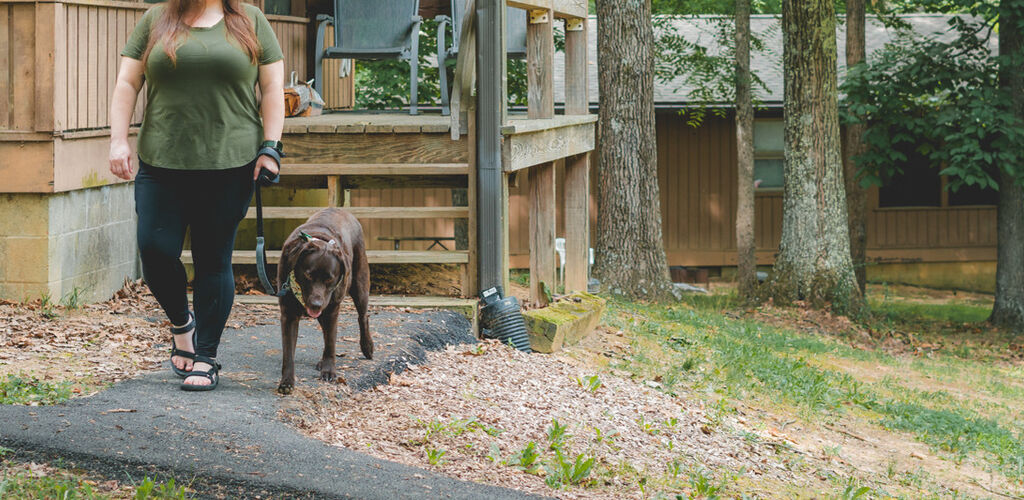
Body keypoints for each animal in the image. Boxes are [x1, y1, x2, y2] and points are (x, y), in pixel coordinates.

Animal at [274, 206, 370, 395]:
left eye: (329, 279)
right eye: (308, 275)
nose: (316, 304)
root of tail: (341, 209)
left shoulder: (332, 310)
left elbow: (331, 342)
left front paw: (329, 370)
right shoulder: (288, 315)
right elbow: (288, 352)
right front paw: (287, 381)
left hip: (360, 283)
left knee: (363, 316)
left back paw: (367, 347)